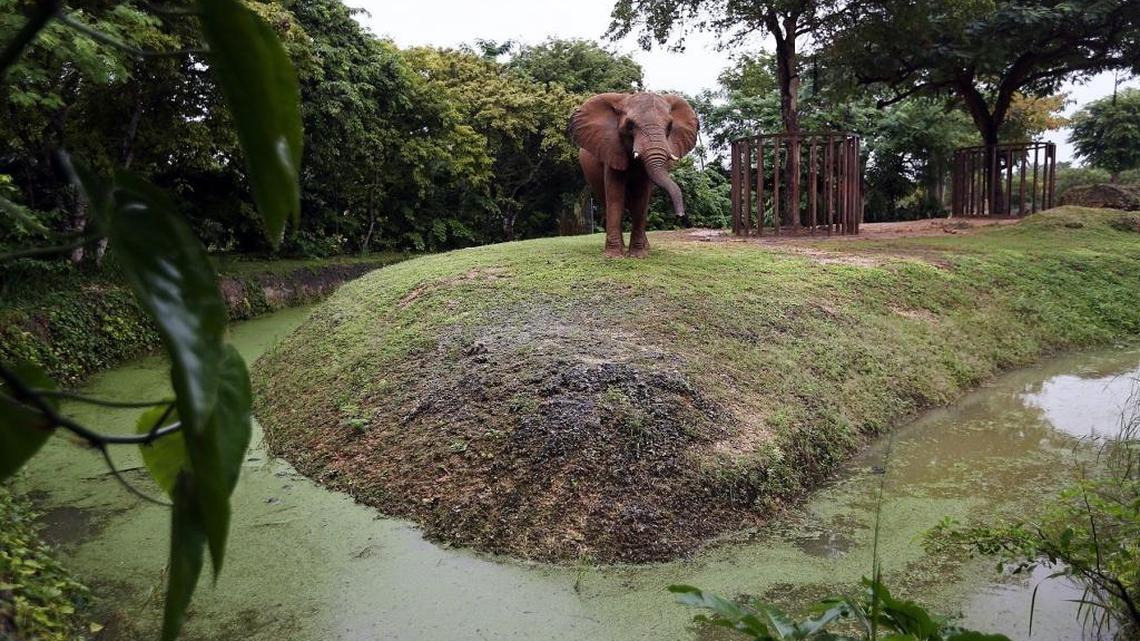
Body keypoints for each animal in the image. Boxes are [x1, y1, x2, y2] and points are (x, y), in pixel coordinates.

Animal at [569, 92, 699, 258]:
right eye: (630, 125)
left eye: (670, 126)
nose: (680, 215)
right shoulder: (612, 149)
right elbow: (615, 197)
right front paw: (614, 256)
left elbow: (641, 198)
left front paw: (638, 255)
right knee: (607, 201)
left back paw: (645, 247)